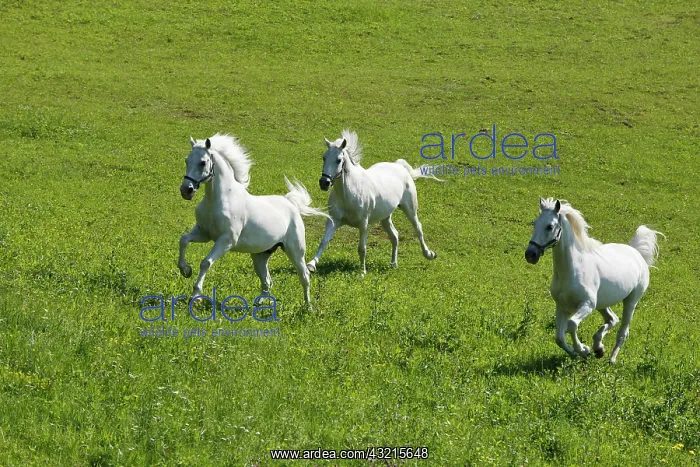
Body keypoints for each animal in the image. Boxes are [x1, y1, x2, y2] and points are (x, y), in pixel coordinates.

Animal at [178, 133, 329, 305]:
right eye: (186, 160)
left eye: (203, 162)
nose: (186, 190)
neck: (219, 199)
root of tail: (290, 204)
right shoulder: (204, 233)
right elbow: (183, 240)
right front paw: (185, 270)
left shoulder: (226, 240)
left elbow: (206, 262)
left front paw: (196, 294)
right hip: (260, 256)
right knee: (267, 281)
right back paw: (259, 304)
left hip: (295, 251)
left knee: (304, 276)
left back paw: (308, 306)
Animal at [306, 129, 439, 276]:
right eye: (324, 158)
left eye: (339, 160)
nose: (324, 183)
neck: (348, 193)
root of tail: (399, 166)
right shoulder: (333, 221)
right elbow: (323, 241)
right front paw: (311, 265)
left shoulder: (363, 224)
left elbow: (362, 248)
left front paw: (362, 273)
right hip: (385, 217)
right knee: (395, 236)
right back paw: (394, 264)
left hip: (410, 209)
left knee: (418, 229)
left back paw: (429, 254)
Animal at [525, 197, 663, 363]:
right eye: (534, 223)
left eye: (549, 226)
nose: (530, 254)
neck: (572, 270)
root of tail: (637, 253)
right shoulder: (562, 306)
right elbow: (559, 338)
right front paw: (578, 352)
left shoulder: (587, 304)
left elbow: (572, 325)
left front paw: (584, 350)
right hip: (602, 303)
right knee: (612, 319)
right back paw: (599, 347)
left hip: (630, 301)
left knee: (623, 331)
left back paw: (611, 359)